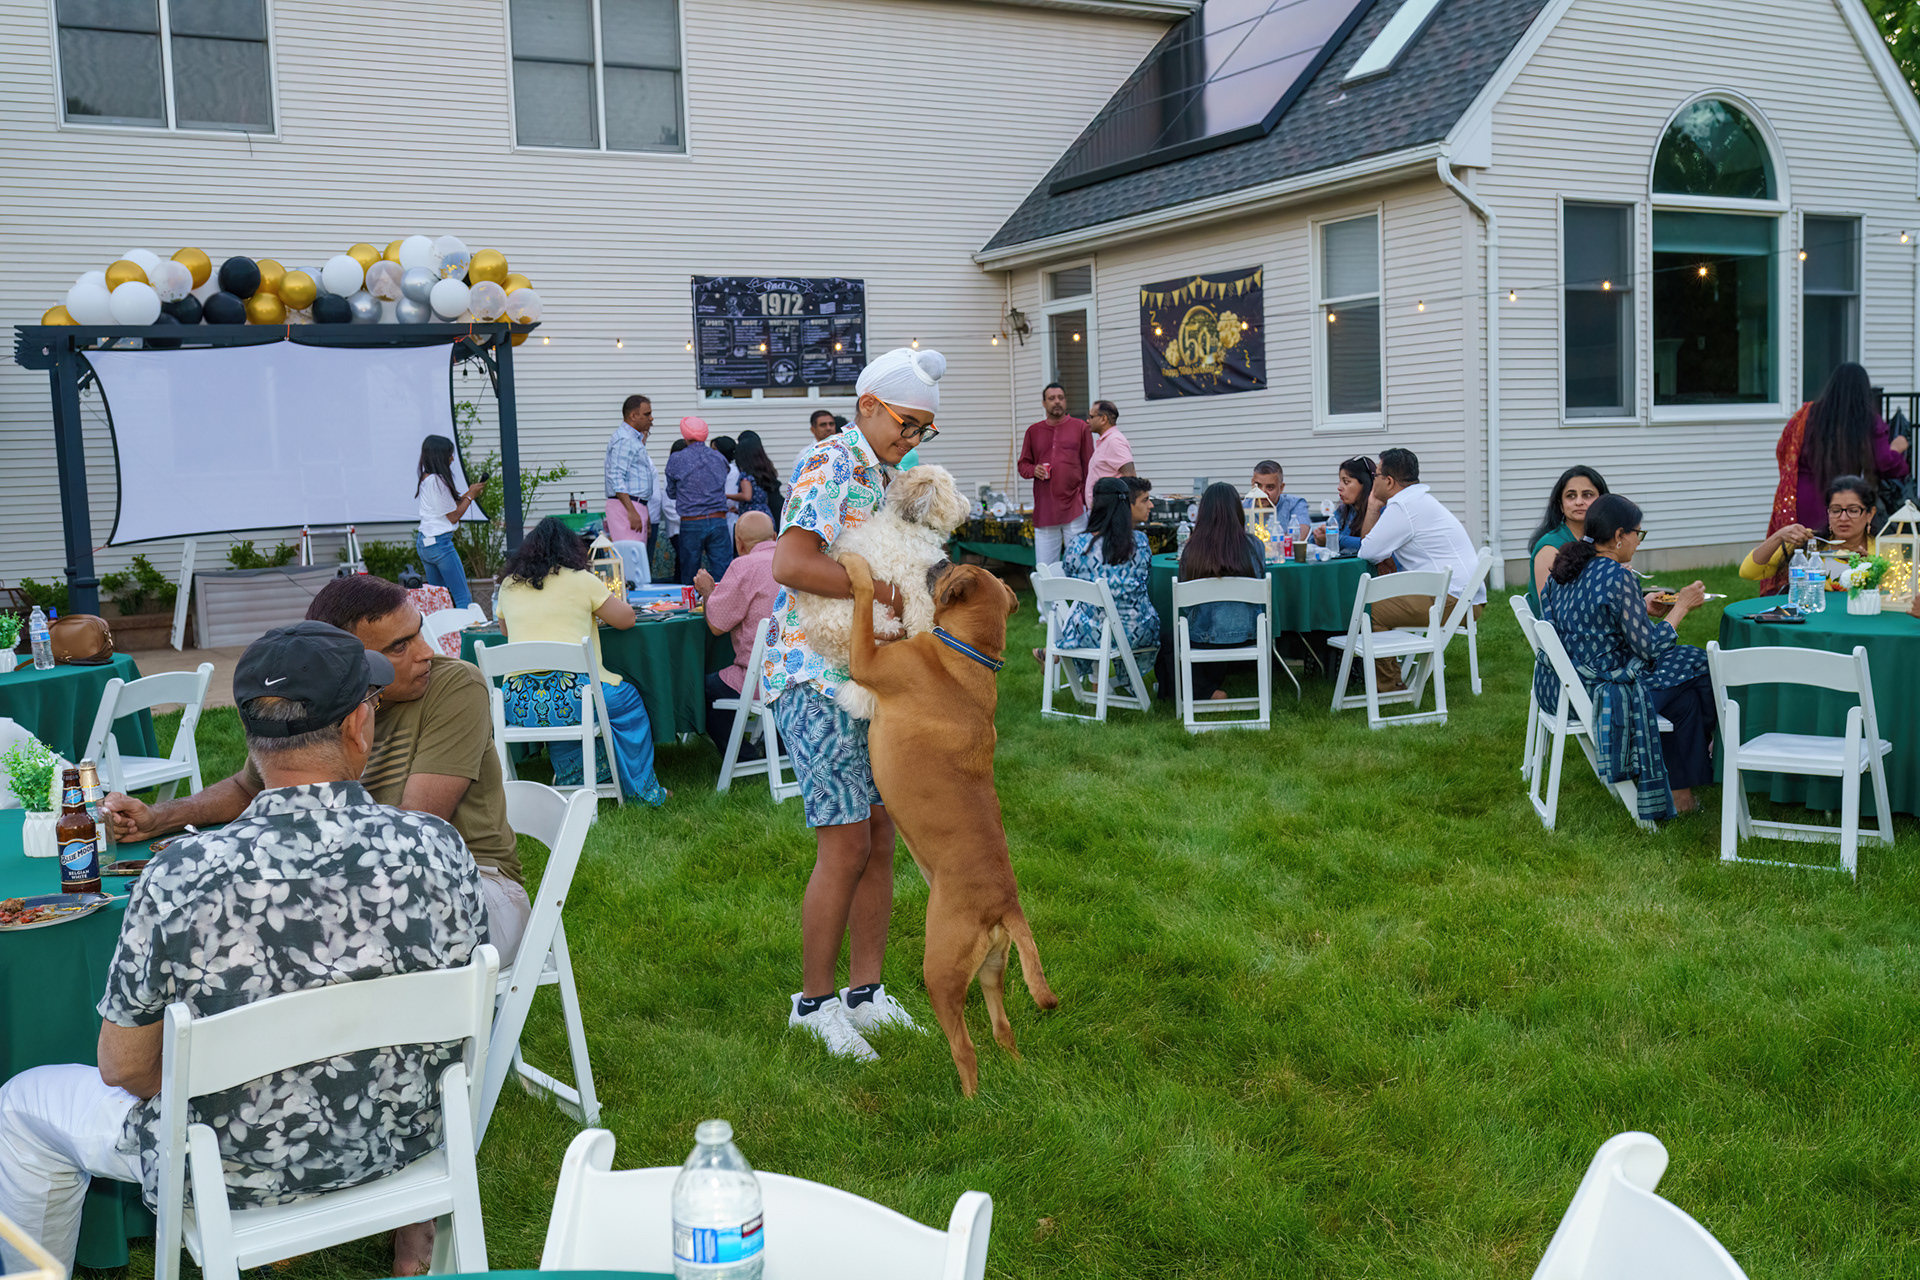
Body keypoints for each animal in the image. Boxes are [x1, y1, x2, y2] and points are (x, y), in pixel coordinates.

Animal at [790, 464, 971, 720]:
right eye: (953, 489)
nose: (967, 503)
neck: (911, 527)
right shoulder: (918, 589)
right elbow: (923, 622)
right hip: (874, 615)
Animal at [842, 551, 1057, 1097]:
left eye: (951, 568)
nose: (941, 558)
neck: (970, 655)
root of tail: (1007, 905)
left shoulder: (866, 660)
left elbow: (861, 600)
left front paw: (855, 566)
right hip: (991, 970)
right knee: (1003, 1030)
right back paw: (1018, 1074)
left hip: (940, 971)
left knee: (967, 1048)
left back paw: (969, 1104)